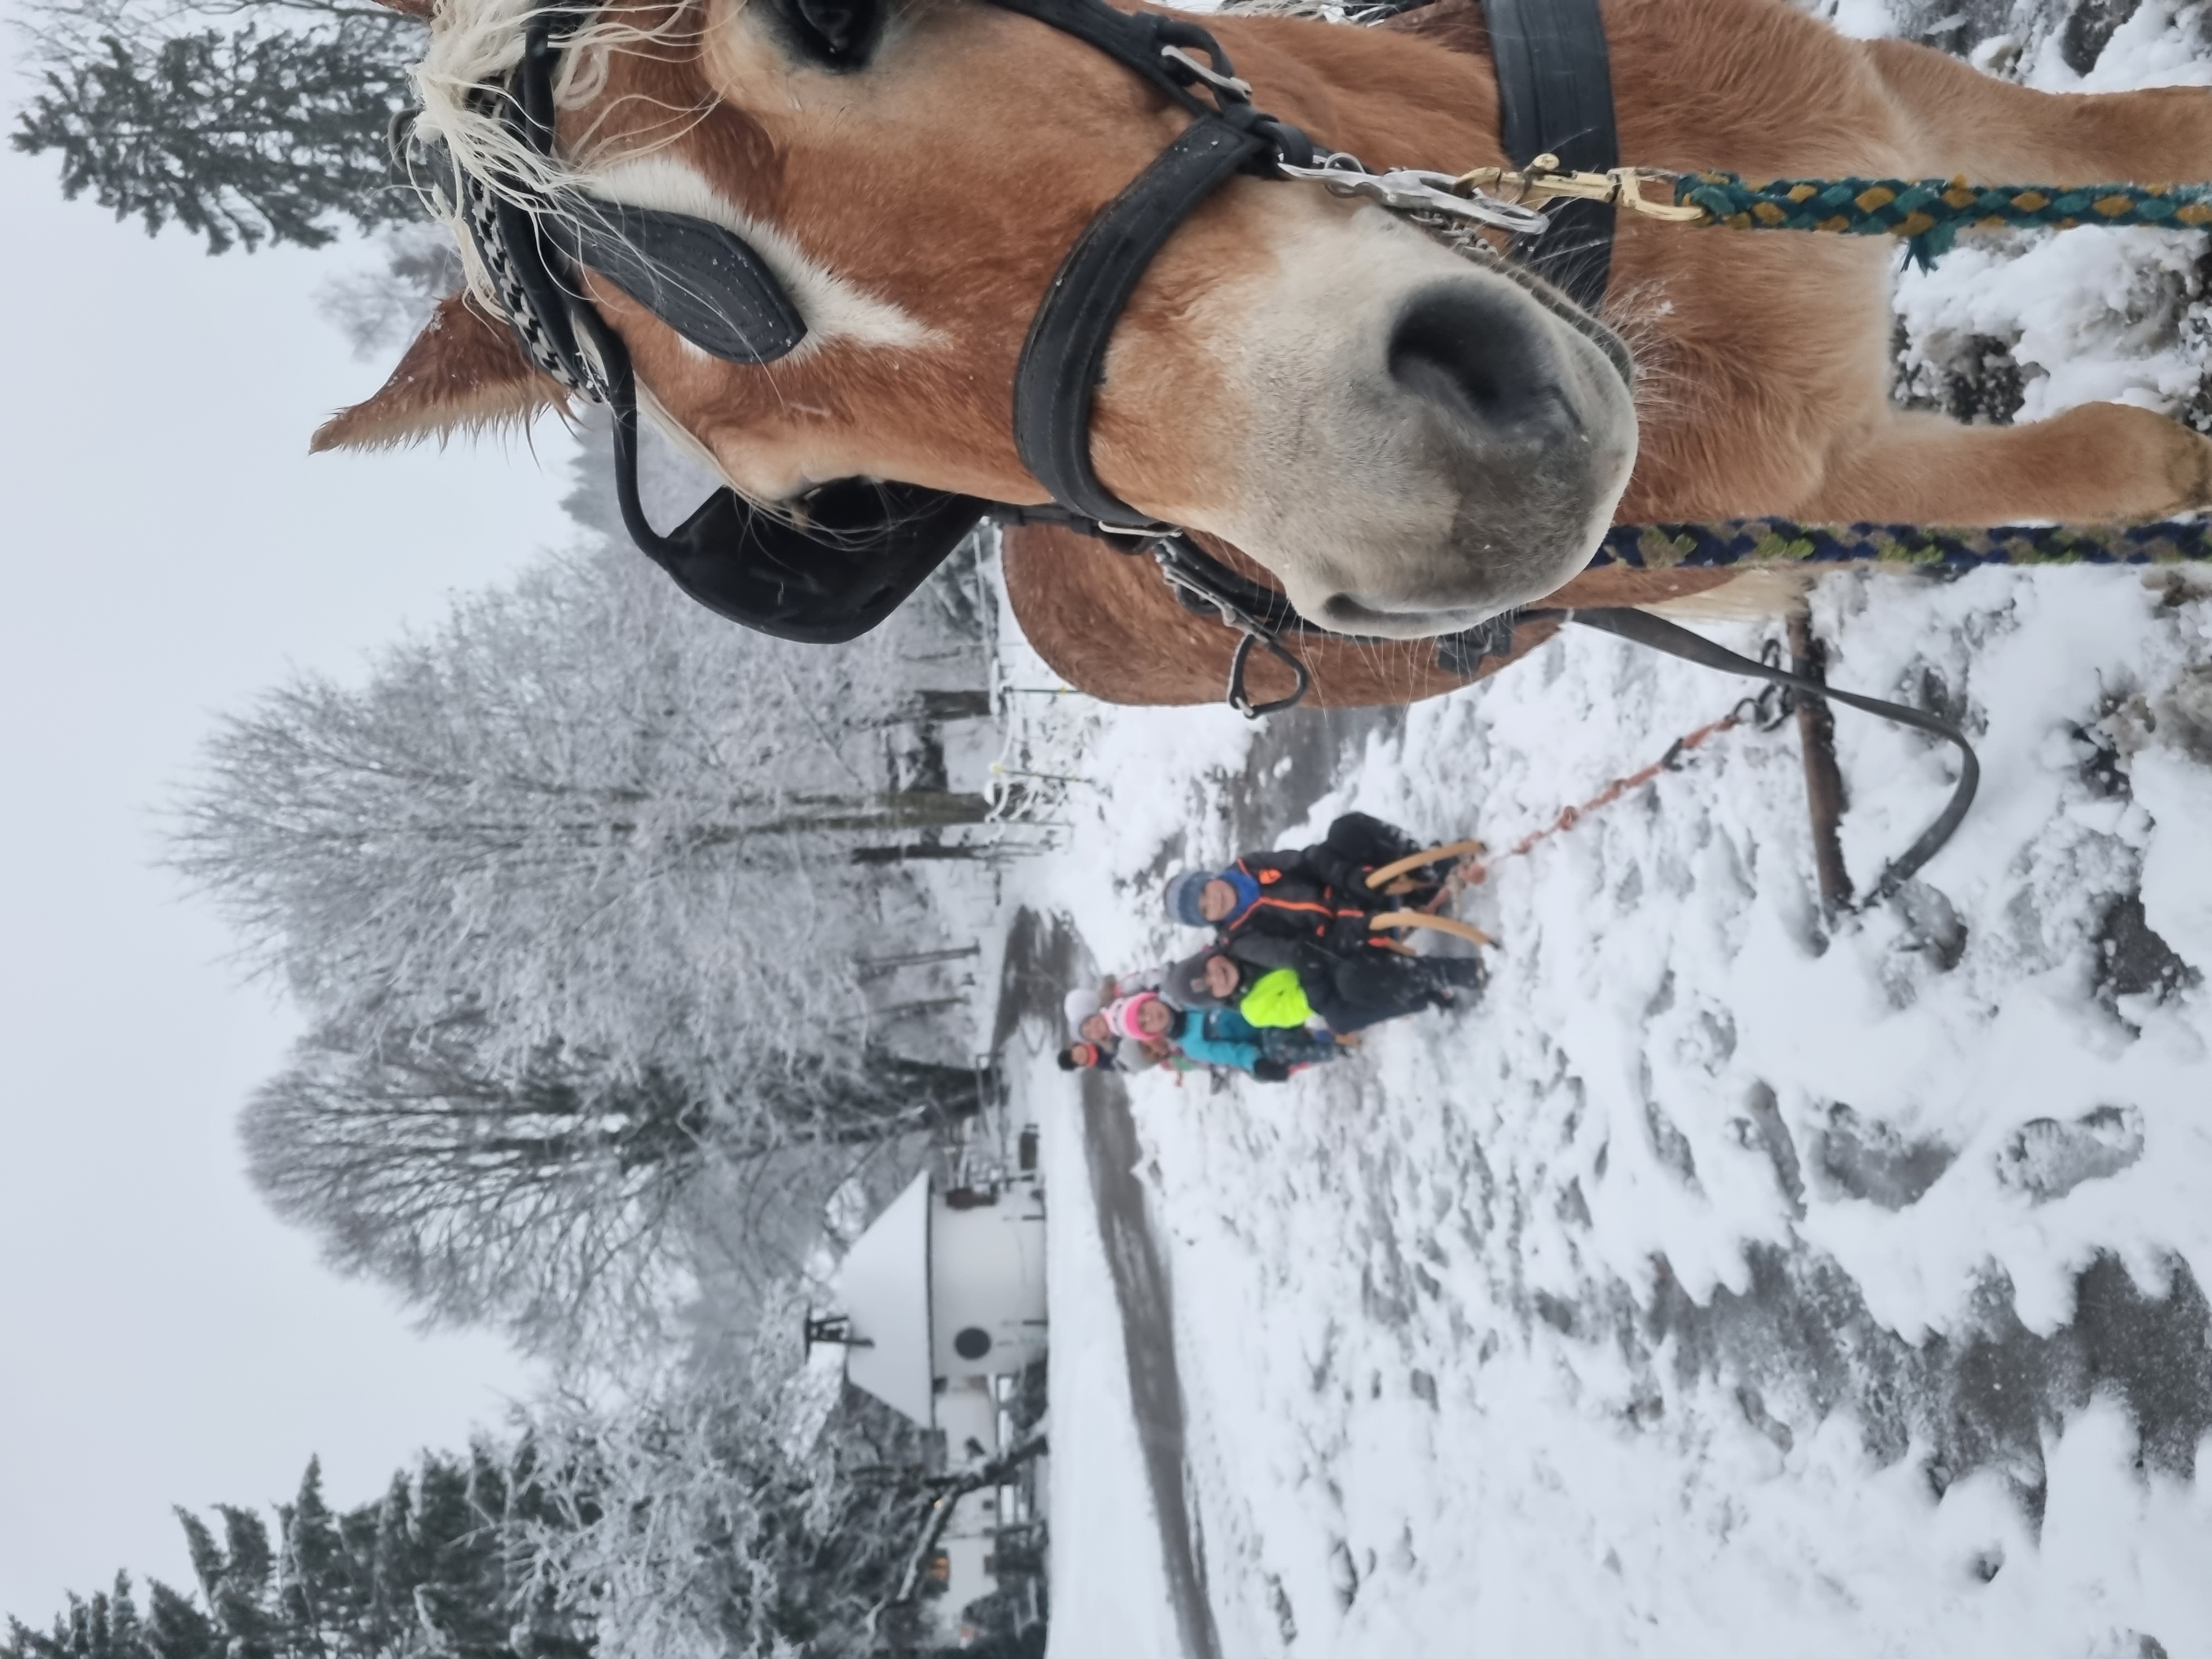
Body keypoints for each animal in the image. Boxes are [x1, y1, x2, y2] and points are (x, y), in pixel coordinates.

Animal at [318, 0, 2212, 708]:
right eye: (825, 493)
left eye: (828, 23)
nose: (1433, 489)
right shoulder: (1846, 479)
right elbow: (2116, 466)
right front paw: (2177, 510)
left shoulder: (1899, 110)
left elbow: (2153, 142)